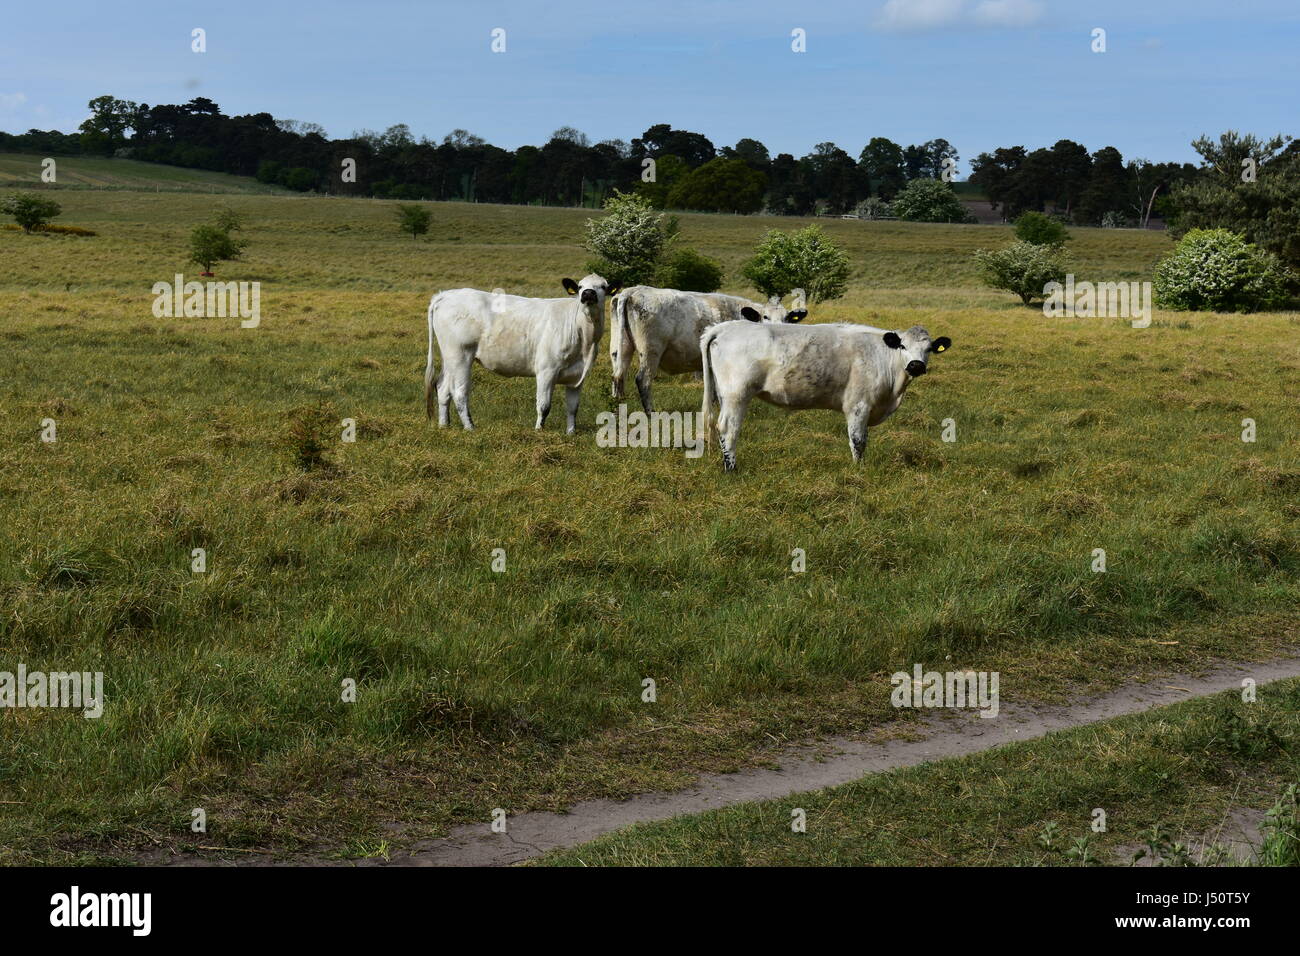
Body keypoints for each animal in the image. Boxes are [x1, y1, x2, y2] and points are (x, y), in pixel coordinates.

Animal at [421, 274, 613, 434]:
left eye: (603, 286)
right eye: (580, 286)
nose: (588, 294)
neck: (584, 336)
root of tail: (446, 295)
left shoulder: (577, 376)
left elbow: (573, 407)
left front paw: (571, 433)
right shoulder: (547, 370)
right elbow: (544, 405)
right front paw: (539, 432)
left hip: (449, 357)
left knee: (443, 388)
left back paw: (444, 426)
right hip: (460, 355)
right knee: (459, 392)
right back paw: (470, 428)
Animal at [605, 287, 800, 416]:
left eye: (787, 318)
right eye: (765, 317)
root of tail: (632, 291)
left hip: (620, 347)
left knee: (617, 376)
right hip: (650, 351)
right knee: (642, 380)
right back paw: (651, 413)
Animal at [707, 321, 951, 470]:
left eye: (929, 349)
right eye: (902, 346)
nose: (916, 365)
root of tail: (726, 327)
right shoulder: (858, 406)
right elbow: (858, 441)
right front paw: (858, 470)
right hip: (736, 394)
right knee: (728, 429)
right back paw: (732, 469)